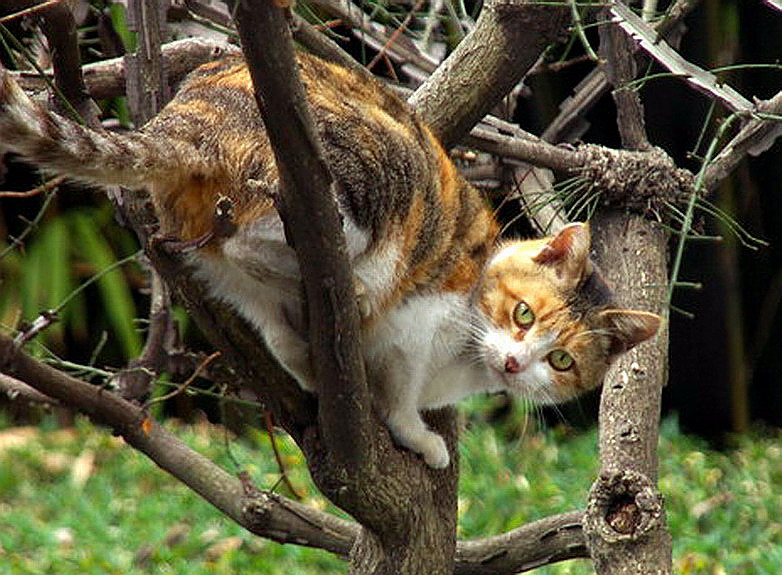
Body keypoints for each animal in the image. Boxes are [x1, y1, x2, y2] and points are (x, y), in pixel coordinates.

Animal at [0, 51, 660, 470]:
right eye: (523, 314)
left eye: (562, 359)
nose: (517, 364)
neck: (465, 362)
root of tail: (192, 114)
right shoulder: (418, 328)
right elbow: (399, 398)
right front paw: (421, 439)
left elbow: (294, 350)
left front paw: (314, 368)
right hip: (357, 179)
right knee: (263, 238)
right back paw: (354, 289)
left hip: (218, 258)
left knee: (243, 271)